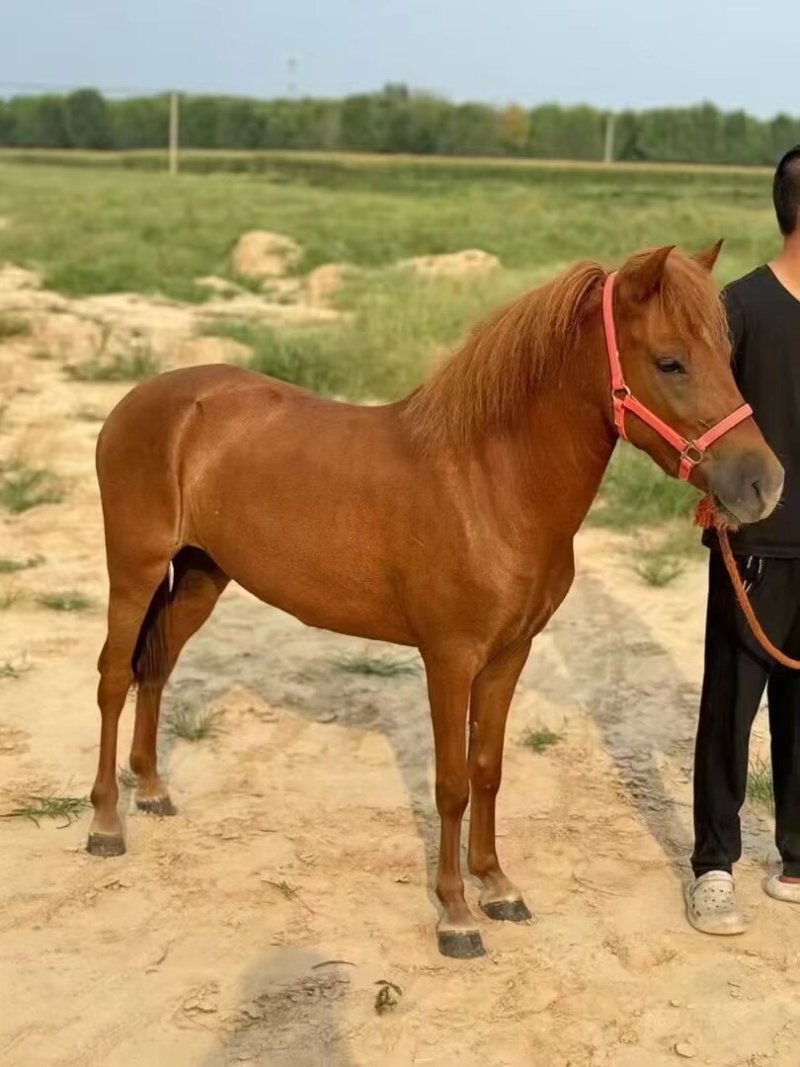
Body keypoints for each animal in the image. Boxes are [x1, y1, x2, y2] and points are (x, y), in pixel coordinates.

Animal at [86, 242, 783, 959]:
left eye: (727, 354)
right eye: (671, 361)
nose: (764, 483)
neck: (489, 484)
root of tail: (146, 397)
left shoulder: (509, 655)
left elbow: (487, 769)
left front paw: (497, 886)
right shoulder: (449, 659)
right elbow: (450, 784)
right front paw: (455, 914)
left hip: (202, 574)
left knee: (156, 668)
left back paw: (152, 790)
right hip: (134, 571)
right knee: (114, 677)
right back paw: (107, 822)